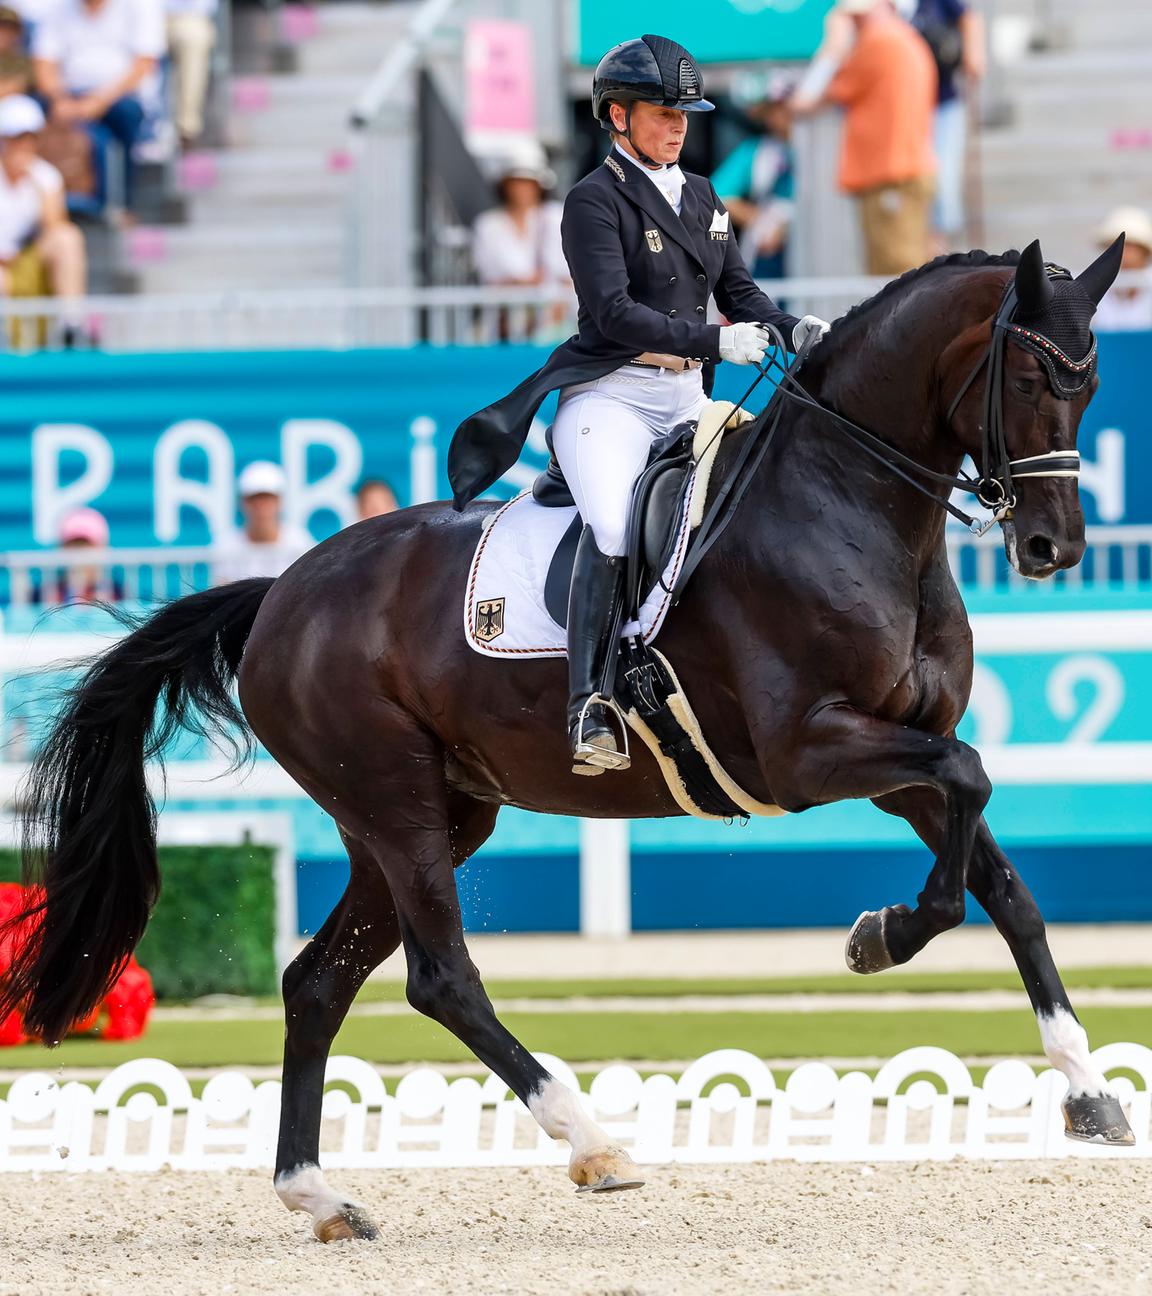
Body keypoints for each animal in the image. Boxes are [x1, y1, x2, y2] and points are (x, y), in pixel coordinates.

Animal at [2, 238, 1135, 1238]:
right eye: (1028, 372)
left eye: (1090, 382)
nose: (1053, 548)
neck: (848, 505)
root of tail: (281, 592)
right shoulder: (810, 753)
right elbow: (971, 792)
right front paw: (881, 936)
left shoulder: (897, 752)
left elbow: (1004, 883)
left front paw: (1086, 1089)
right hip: (396, 806)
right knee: (441, 977)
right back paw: (594, 1143)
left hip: (426, 815)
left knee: (318, 983)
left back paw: (319, 1197)